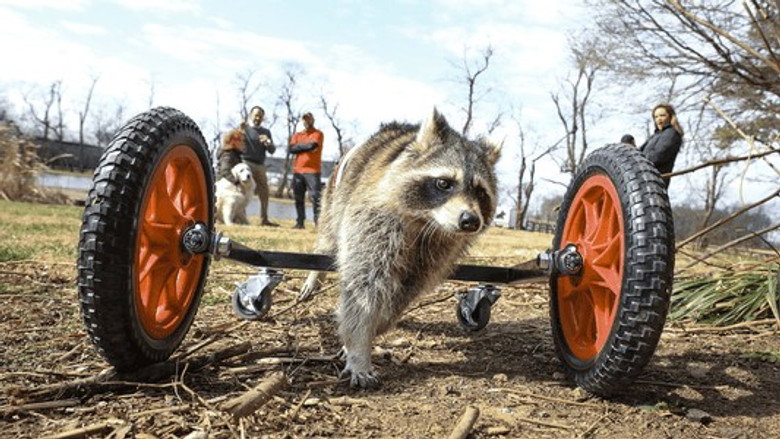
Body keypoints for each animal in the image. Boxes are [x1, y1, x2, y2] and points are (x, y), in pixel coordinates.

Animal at [299, 108, 500, 388]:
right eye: (444, 183)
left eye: (481, 192)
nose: (470, 221)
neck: (427, 221)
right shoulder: (374, 220)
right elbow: (363, 287)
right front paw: (358, 346)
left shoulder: (440, 248)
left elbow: (406, 291)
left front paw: (379, 325)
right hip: (335, 196)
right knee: (327, 237)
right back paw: (315, 273)